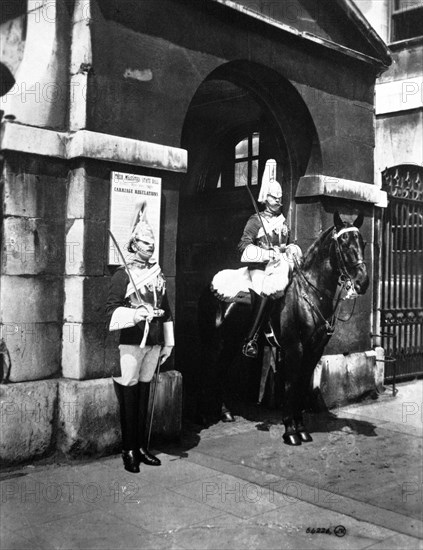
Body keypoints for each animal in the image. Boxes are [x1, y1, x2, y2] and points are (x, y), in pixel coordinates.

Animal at [198, 210, 368, 444]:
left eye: (363, 243)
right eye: (343, 242)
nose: (363, 282)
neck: (311, 293)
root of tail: (211, 285)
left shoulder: (314, 351)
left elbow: (301, 386)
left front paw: (300, 427)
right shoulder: (294, 349)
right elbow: (291, 386)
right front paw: (290, 430)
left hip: (231, 342)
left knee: (221, 372)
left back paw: (225, 412)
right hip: (217, 342)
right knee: (210, 370)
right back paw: (206, 415)